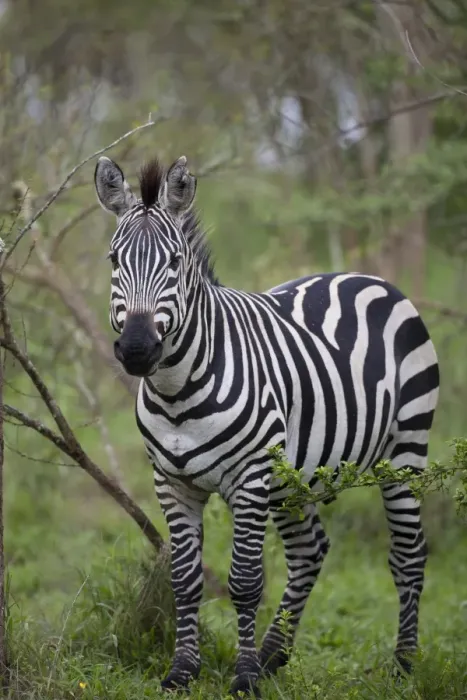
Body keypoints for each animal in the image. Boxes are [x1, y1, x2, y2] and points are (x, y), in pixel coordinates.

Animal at [94, 153, 439, 697]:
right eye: (113, 261)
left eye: (174, 263)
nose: (136, 350)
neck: (176, 390)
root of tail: (366, 277)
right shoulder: (171, 482)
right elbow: (185, 580)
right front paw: (183, 672)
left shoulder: (250, 479)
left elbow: (244, 582)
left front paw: (244, 678)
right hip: (293, 479)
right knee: (310, 550)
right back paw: (275, 653)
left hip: (404, 451)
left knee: (408, 554)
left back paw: (403, 663)